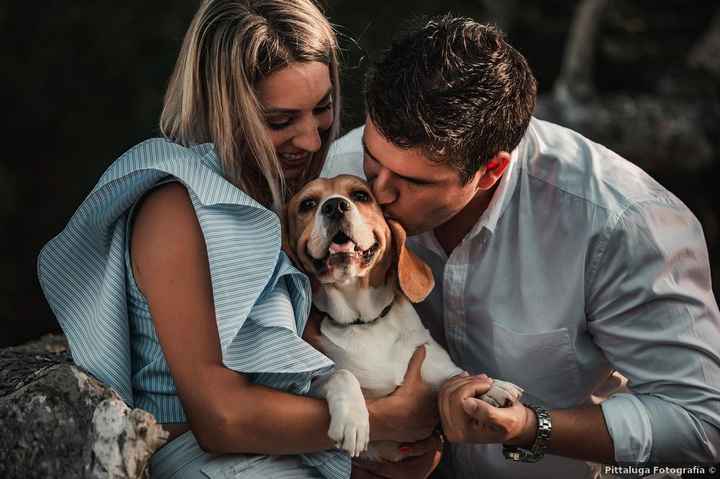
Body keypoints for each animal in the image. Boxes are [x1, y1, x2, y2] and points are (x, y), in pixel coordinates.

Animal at [282, 175, 524, 462]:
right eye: (307, 204)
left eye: (361, 195)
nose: (334, 206)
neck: (365, 322)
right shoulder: (307, 386)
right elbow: (341, 374)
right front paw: (353, 420)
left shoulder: (433, 365)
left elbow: (458, 376)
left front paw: (492, 385)